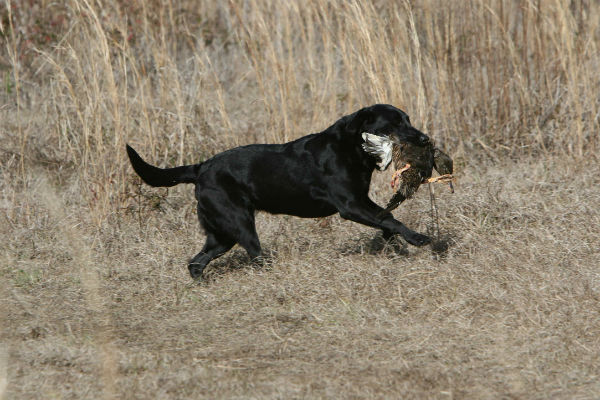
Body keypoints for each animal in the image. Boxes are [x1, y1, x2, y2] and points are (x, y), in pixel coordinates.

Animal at [127, 104, 432, 278]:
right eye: (394, 123)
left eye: (408, 119)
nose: (425, 139)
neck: (350, 147)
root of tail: (200, 167)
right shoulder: (350, 205)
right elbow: (389, 217)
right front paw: (417, 238)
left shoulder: (360, 201)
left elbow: (386, 218)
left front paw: (392, 240)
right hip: (239, 223)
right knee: (255, 255)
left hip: (222, 234)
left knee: (196, 262)